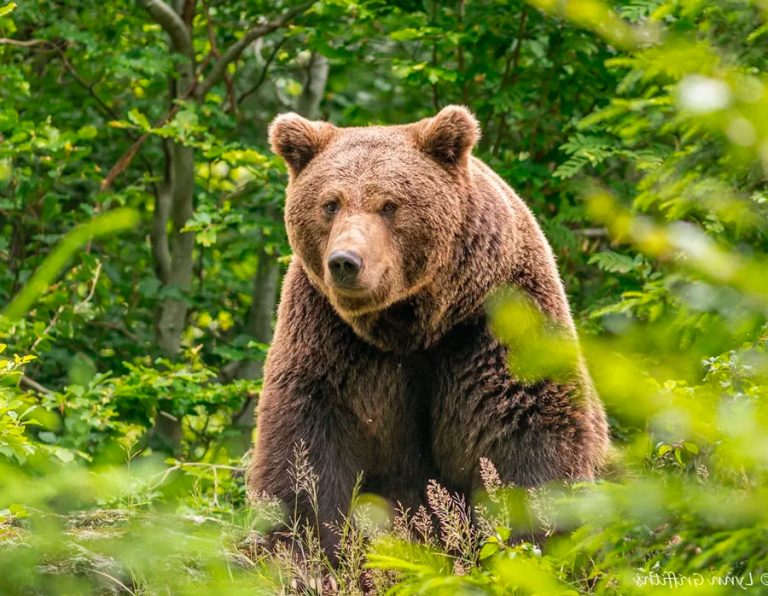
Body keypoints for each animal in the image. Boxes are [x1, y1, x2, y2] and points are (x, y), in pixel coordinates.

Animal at [249, 105, 608, 556]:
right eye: (330, 203)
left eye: (389, 204)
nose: (346, 262)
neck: (411, 323)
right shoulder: (328, 338)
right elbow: (306, 449)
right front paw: (305, 549)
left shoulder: (493, 325)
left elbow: (526, 432)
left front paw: (537, 539)